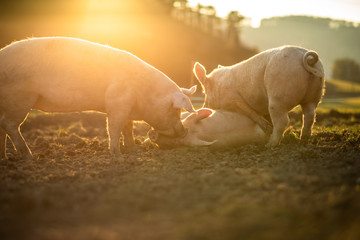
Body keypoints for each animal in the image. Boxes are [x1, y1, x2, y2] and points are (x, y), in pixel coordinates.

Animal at [0, 37, 197, 159]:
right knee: (10, 125)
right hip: (20, 99)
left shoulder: (126, 106)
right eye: (176, 110)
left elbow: (128, 128)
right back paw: (29, 156)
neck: (145, 93)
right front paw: (117, 157)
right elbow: (114, 128)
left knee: (2, 126)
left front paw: (134, 149)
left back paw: (6, 158)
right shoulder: (117, 102)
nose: (184, 131)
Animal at [193, 45, 324, 146]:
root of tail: (304, 56)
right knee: (310, 116)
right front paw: (267, 129)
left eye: (204, 93)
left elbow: (248, 110)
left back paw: (270, 145)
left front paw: (267, 129)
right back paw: (303, 140)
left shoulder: (233, 99)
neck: (218, 87)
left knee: (282, 121)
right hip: (314, 94)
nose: (202, 107)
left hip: (278, 96)